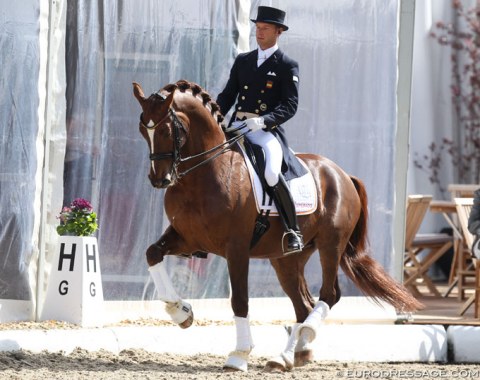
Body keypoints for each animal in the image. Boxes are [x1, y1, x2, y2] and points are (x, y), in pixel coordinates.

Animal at [131, 78, 420, 372]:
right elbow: (152, 253)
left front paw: (239, 355)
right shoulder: (186, 239)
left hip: (331, 245)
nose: (160, 179)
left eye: (166, 129)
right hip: (286, 259)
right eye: (143, 128)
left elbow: (240, 300)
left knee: (329, 294)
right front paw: (182, 313)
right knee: (303, 305)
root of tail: (342, 174)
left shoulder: (236, 249)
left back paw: (304, 337)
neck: (205, 174)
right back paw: (291, 355)